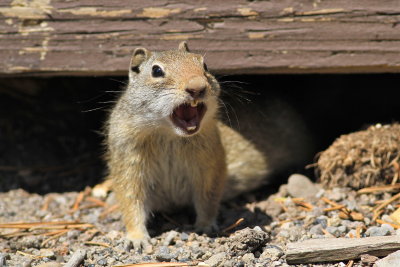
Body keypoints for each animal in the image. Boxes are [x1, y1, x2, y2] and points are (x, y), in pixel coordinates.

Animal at [99, 42, 312, 249]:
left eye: (204, 65)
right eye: (156, 71)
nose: (197, 86)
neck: (168, 134)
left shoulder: (210, 165)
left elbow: (208, 197)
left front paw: (205, 225)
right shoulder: (128, 162)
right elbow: (130, 201)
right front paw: (136, 238)